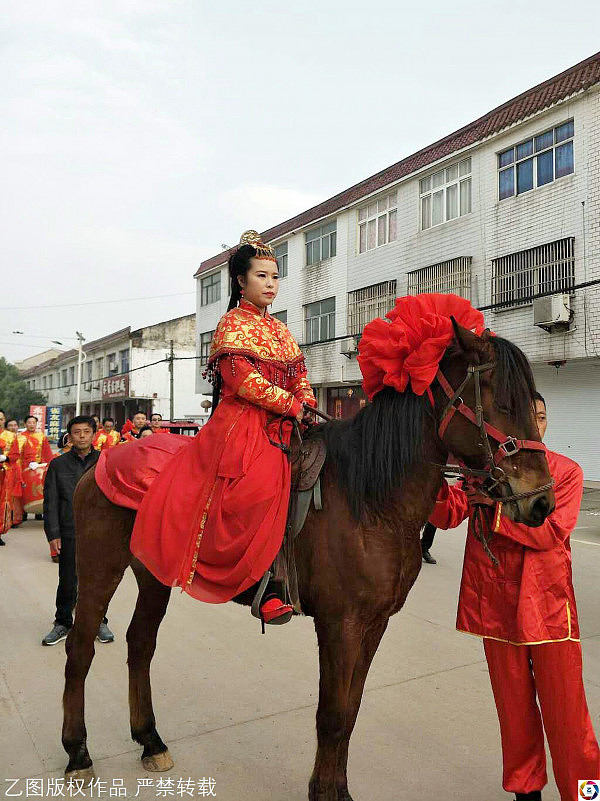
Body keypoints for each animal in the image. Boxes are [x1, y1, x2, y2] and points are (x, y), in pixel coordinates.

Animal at [63, 320, 556, 800]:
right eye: (503, 402)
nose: (541, 503)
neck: (370, 500)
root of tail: (101, 461)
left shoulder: (375, 622)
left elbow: (350, 711)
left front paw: (340, 790)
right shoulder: (340, 622)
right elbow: (332, 715)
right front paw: (323, 792)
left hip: (154, 573)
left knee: (140, 643)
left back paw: (150, 740)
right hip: (100, 569)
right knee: (81, 647)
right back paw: (77, 752)